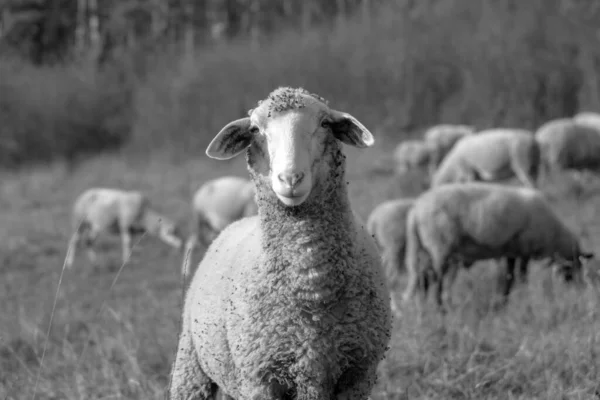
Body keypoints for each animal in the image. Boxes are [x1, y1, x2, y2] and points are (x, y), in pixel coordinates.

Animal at [170, 87, 394, 400]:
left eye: (325, 123)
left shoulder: (358, 375)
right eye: (255, 129)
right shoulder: (260, 378)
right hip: (191, 365)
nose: (290, 178)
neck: (311, 285)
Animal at [400, 183, 592, 308]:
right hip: (440, 245)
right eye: (574, 267)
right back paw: (439, 307)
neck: (553, 237)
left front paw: (504, 301)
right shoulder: (525, 248)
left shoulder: (511, 251)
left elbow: (509, 278)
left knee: (423, 277)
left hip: (425, 247)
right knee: (437, 277)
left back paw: (425, 305)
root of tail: (415, 211)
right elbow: (521, 277)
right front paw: (523, 297)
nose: (579, 290)